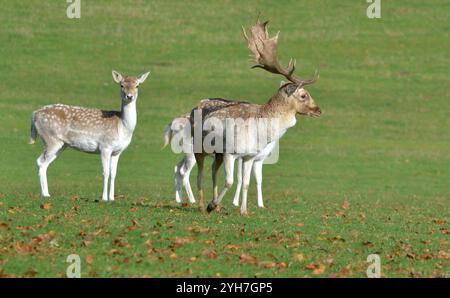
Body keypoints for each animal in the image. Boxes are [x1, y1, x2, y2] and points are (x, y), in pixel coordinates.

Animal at [29, 70, 150, 200]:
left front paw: (112, 198)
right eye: (121, 85)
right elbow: (105, 172)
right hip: (50, 139)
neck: (122, 127)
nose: (129, 96)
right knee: (40, 161)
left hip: (61, 144)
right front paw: (104, 198)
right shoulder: (105, 146)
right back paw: (45, 194)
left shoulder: (118, 151)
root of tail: (34, 114)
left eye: (137, 85)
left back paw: (47, 193)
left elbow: (114, 173)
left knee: (44, 163)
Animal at [192, 18, 322, 214]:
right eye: (303, 95)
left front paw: (244, 211)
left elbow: (246, 183)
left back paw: (217, 205)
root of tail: (197, 104)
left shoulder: (249, 156)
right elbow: (230, 181)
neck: (260, 131)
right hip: (199, 146)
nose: (318, 110)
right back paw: (202, 205)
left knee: (213, 169)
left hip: (218, 153)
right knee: (200, 174)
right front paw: (210, 205)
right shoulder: (231, 151)